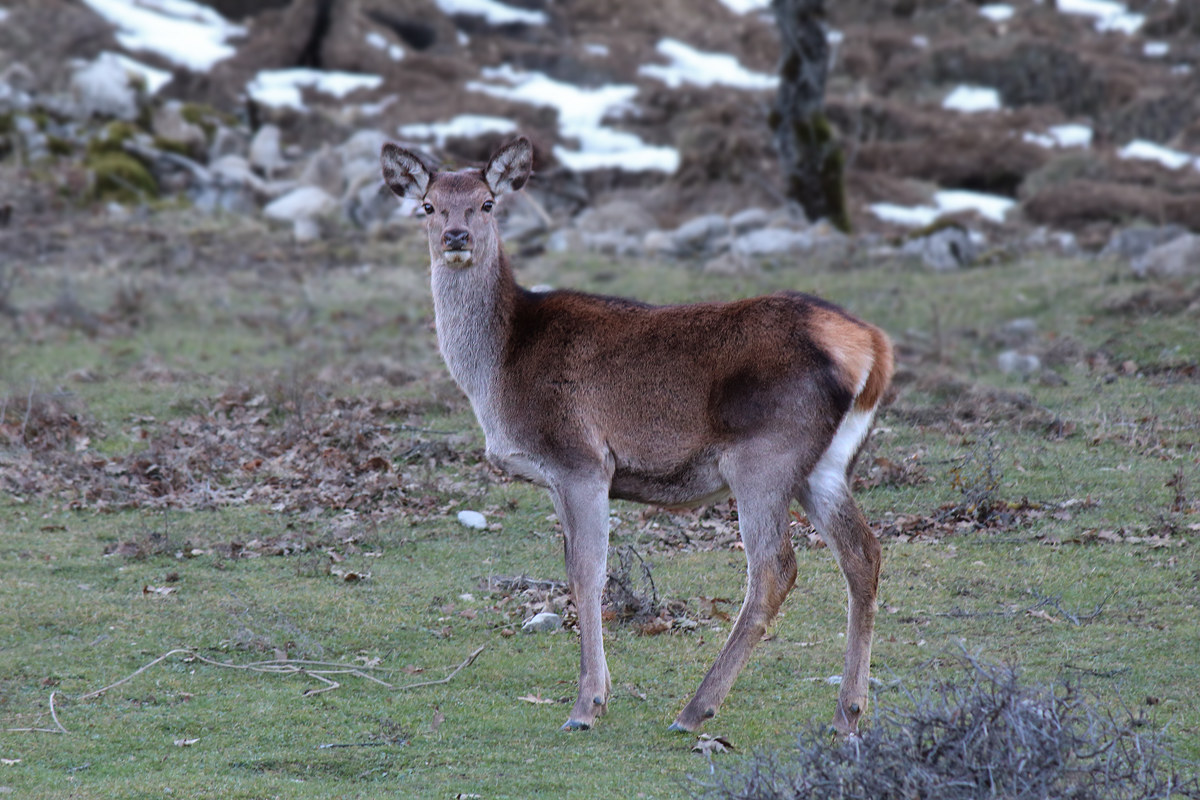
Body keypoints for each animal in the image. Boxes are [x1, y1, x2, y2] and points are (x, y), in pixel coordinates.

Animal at [379, 136, 897, 738]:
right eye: (428, 206)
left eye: (487, 203)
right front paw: (597, 694)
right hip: (825, 465)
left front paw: (587, 705)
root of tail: (873, 346)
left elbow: (587, 574)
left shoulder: (579, 460)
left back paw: (696, 709)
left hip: (765, 456)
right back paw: (847, 712)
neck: (497, 371)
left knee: (775, 569)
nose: (456, 236)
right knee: (863, 552)